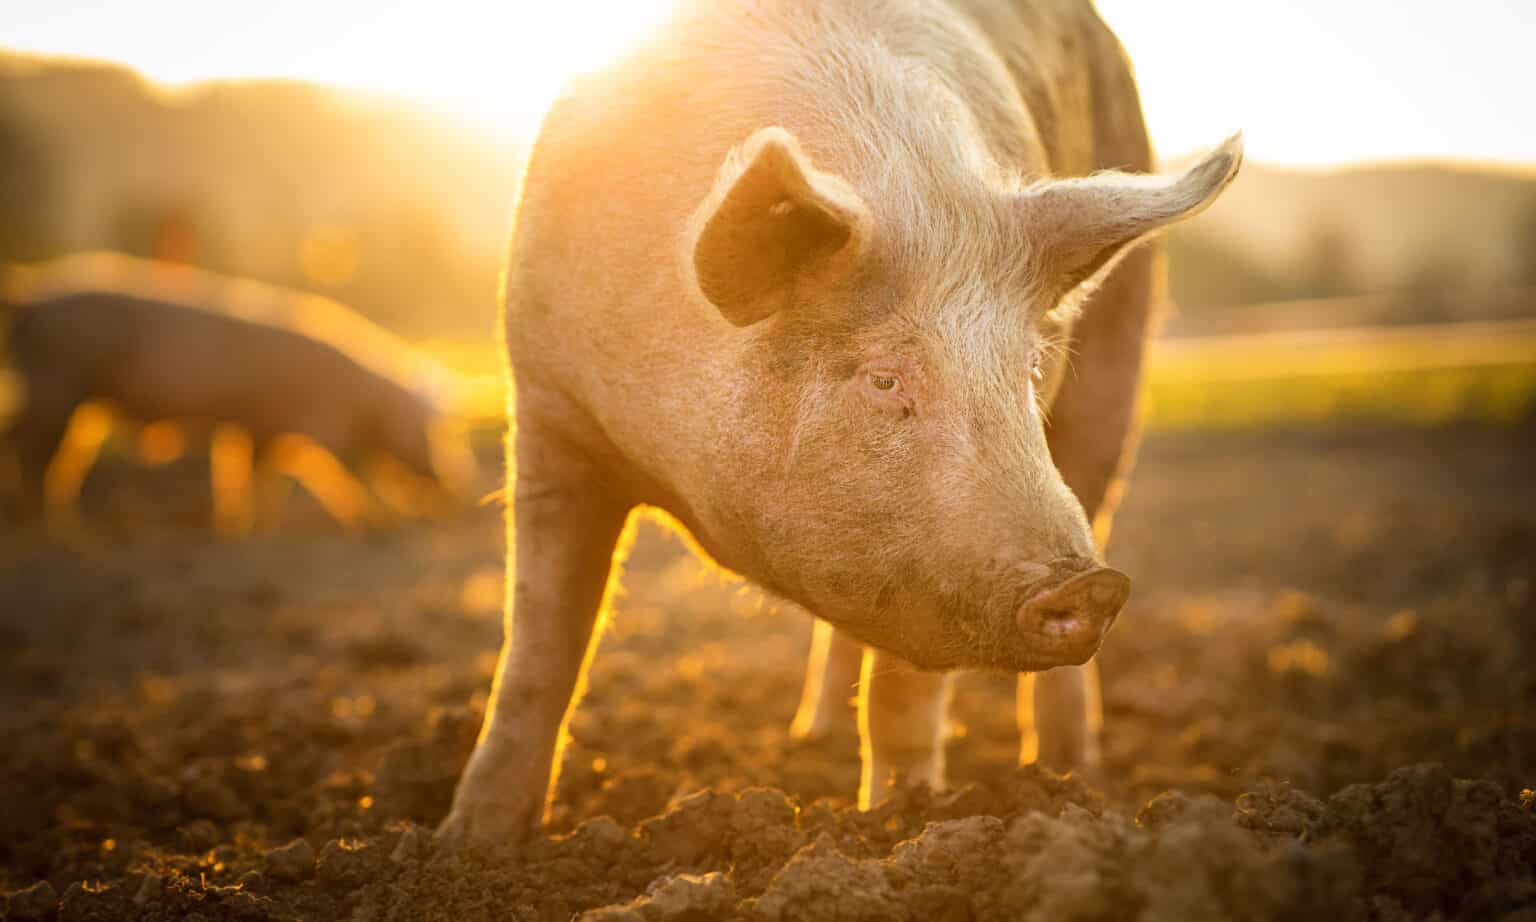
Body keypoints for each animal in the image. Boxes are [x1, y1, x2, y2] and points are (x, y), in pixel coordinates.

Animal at [0, 253, 478, 529]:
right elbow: (337, 467)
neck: (363, 400)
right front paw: (373, 515)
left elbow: (252, 469)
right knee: (33, 445)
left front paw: (246, 519)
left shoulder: (255, 425)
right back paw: (49, 521)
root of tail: (29, 299)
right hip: (56, 381)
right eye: (436, 433)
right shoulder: (310, 423)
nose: (458, 487)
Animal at [439, 0, 1240, 845]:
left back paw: (1068, 775)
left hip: (1118, 363)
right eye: (884, 377)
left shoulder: (922, 561)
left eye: (1026, 369)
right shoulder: (549, 407)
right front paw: (471, 840)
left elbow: (906, 687)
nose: (1089, 587)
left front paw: (900, 820)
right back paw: (812, 736)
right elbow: (539, 645)